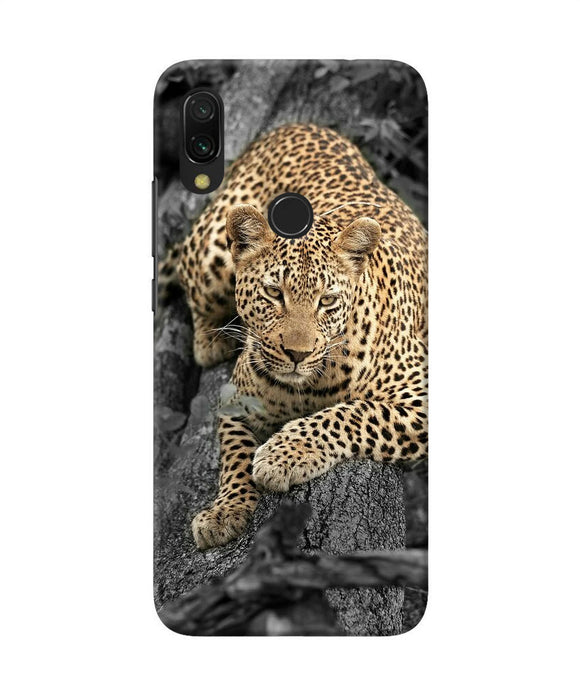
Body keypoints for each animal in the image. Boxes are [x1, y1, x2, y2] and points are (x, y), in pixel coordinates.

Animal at [170, 123, 427, 550]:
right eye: (275, 293)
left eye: (327, 300)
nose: (296, 354)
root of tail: (297, 125)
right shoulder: (234, 400)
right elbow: (234, 455)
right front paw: (225, 511)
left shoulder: (420, 395)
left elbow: (353, 413)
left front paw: (283, 455)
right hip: (212, 253)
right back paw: (211, 340)